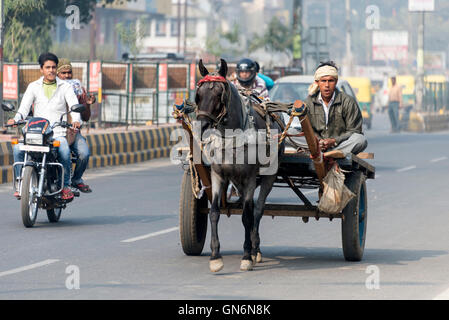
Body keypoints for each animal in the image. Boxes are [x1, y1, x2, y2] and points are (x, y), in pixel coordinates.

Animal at [195, 58, 284, 272]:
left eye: (219, 95)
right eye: (198, 95)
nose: (202, 127)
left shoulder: (250, 178)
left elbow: (246, 216)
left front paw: (246, 256)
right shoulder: (218, 176)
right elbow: (214, 212)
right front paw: (215, 257)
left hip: (268, 176)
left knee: (257, 210)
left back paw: (255, 249)